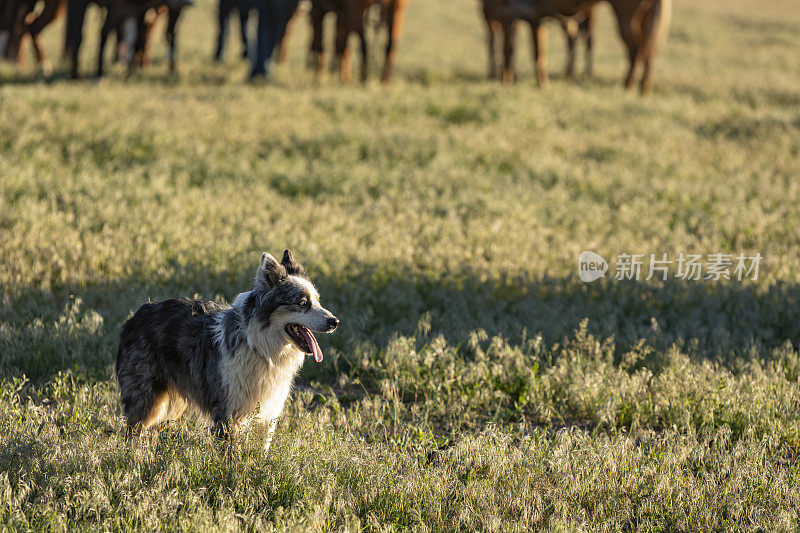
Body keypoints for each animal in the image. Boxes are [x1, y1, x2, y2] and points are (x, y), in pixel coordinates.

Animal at [115, 249, 338, 448]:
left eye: (318, 301)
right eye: (303, 302)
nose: (334, 322)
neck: (261, 348)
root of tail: (138, 313)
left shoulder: (268, 413)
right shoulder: (227, 409)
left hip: (172, 400)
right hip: (146, 396)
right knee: (133, 430)